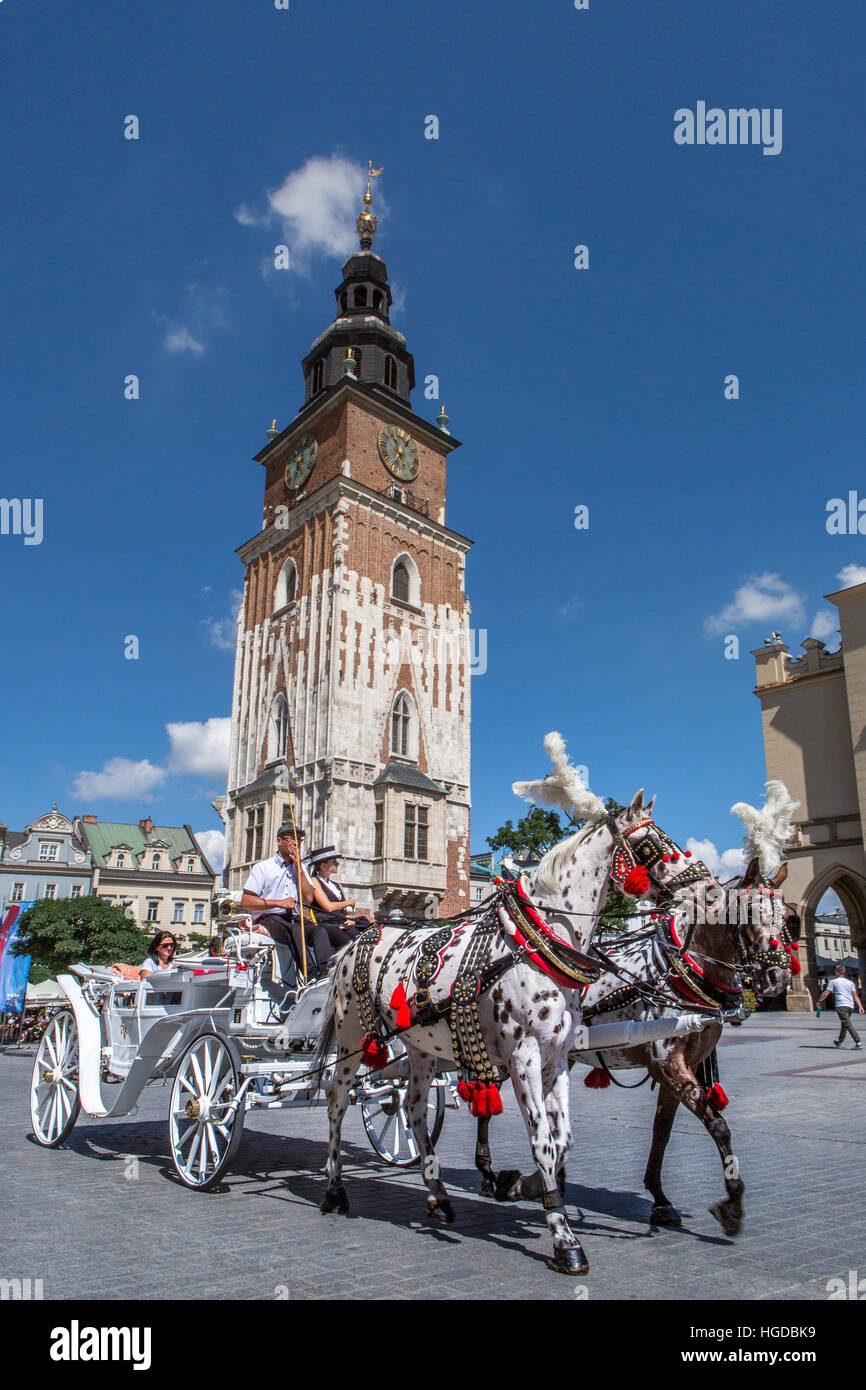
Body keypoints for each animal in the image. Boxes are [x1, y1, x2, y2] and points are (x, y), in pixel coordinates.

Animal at [315, 733, 728, 1273]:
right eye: (652, 844)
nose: (711, 890)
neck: (541, 939)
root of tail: (357, 939)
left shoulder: (557, 1058)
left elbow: (562, 1139)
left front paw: (523, 1188)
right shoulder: (524, 1057)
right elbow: (542, 1141)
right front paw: (564, 1239)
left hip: (421, 1048)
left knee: (415, 1108)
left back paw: (437, 1196)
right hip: (350, 1039)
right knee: (337, 1100)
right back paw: (335, 1190)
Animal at [480, 783, 800, 1239]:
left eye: (788, 918)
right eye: (751, 913)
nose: (777, 978)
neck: (683, 970)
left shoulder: (678, 1067)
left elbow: (662, 1133)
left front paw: (661, 1201)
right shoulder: (667, 1061)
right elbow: (718, 1125)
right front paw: (732, 1204)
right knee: (482, 1101)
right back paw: (491, 1174)